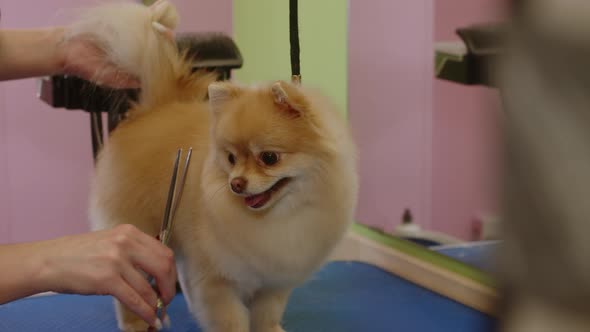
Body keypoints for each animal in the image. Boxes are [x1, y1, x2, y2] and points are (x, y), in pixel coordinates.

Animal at [67, 1, 358, 330]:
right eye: (231, 159)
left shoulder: (274, 282)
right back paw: (135, 322)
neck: (279, 218)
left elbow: (267, 313)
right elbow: (231, 319)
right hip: (137, 230)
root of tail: (155, 107)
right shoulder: (218, 281)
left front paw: (270, 328)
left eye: (269, 157)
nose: (236, 183)